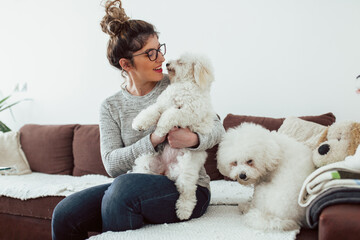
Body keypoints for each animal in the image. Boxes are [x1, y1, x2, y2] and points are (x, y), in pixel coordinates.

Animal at [133, 53, 215, 220]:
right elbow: (152, 111)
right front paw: (138, 123)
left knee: (187, 193)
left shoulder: (188, 112)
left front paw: (160, 130)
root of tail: (166, 170)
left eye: (181, 61)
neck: (184, 85)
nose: (167, 64)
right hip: (147, 161)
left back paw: (183, 212)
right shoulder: (162, 104)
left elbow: (169, 115)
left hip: (186, 172)